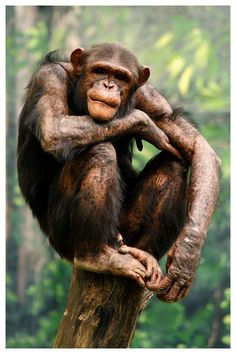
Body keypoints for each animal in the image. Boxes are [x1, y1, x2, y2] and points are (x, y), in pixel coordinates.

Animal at [17, 42, 220, 302]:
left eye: (121, 77)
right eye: (100, 70)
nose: (108, 85)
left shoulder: (152, 99)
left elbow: (200, 149)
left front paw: (186, 259)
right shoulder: (49, 79)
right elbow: (55, 128)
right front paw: (142, 122)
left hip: (124, 231)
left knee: (173, 165)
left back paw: (145, 258)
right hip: (61, 237)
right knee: (99, 151)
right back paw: (96, 257)